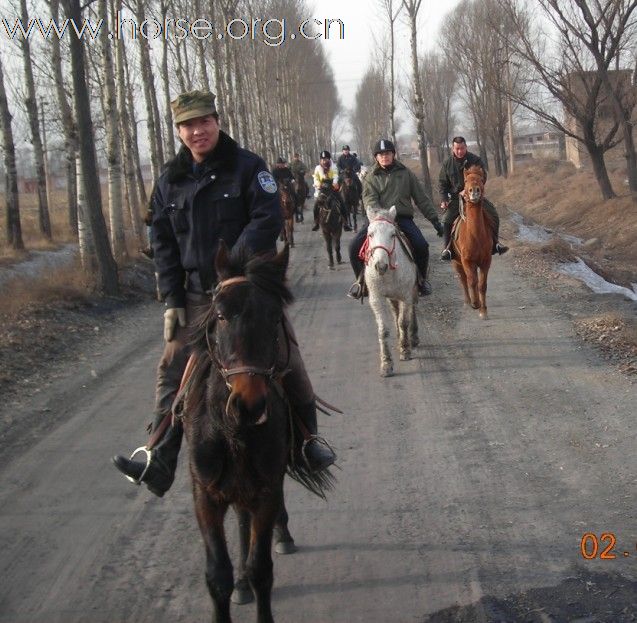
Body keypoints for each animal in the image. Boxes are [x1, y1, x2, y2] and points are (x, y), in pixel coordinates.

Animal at [178, 245, 330, 623]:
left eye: (275, 316)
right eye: (219, 315)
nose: (248, 403)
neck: (232, 431)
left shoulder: (266, 489)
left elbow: (262, 567)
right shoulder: (206, 496)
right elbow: (217, 574)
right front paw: (234, 585)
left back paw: (281, 538)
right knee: (241, 523)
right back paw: (241, 584)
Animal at [360, 207, 420, 378]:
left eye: (393, 234)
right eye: (370, 234)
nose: (380, 266)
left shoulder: (405, 295)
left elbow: (404, 321)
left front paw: (405, 350)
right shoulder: (377, 299)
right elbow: (383, 330)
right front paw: (386, 363)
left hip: (411, 292)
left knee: (411, 310)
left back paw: (413, 337)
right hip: (391, 297)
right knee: (395, 312)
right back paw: (400, 336)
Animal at [448, 163, 492, 320]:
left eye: (481, 179)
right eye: (466, 181)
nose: (474, 191)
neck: (475, 235)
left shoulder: (486, 261)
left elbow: (482, 285)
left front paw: (483, 311)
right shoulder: (467, 261)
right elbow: (472, 281)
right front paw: (475, 303)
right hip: (456, 262)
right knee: (463, 279)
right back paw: (468, 302)